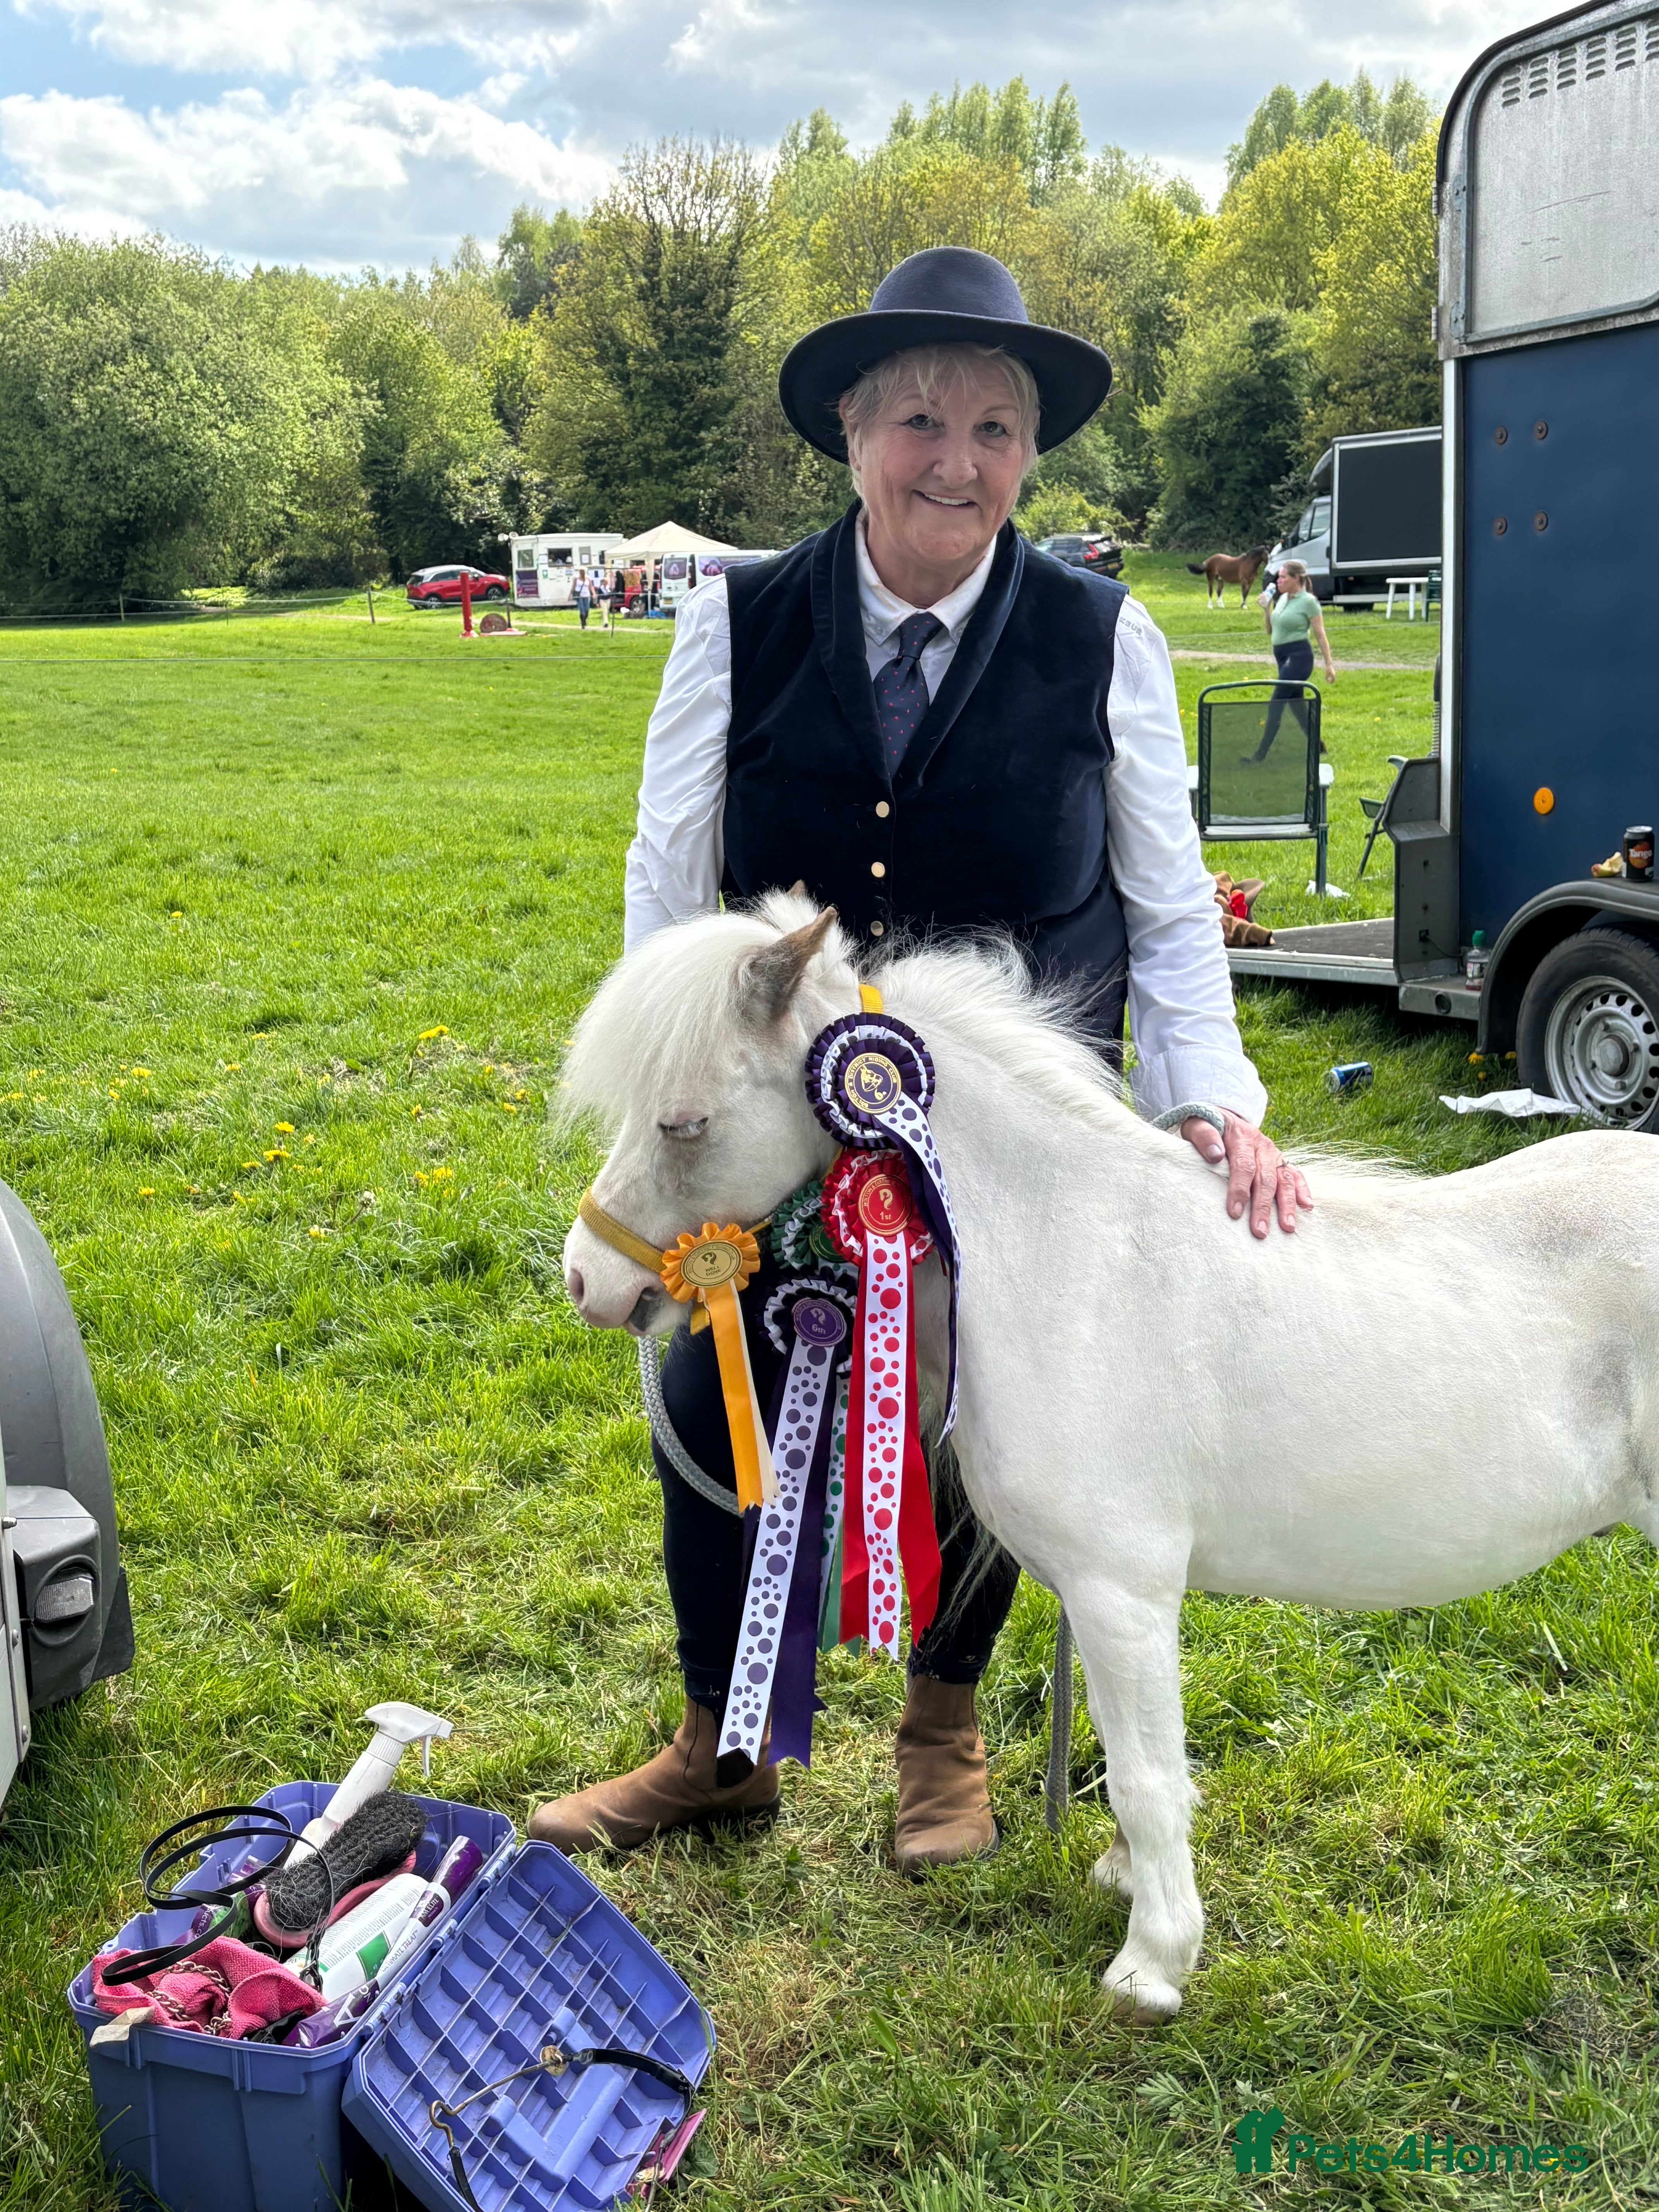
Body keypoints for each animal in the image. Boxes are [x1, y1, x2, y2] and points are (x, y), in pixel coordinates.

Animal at [559, 891, 1659, 2023]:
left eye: (683, 1121)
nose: (586, 1278)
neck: (1073, 1254)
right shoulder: (1108, 1599)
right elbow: (1138, 1760)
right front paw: (1130, 1882)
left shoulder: (1120, 1589)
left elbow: (1141, 1773)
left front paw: (1153, 1966)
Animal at [1187, 546, 1269, 608]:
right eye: (1267, 554)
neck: (1249, 563)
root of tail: (1208, 561)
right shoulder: (1245, 581)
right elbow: (1244, 593)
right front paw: (1243, 606)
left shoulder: (1251, 582)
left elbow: (1246, 593)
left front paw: (1243, 605)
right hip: (1211, 579)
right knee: (1211, 591)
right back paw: (1210, 606)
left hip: (1220, 580)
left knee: (1219, 592)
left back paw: (1221, 606)